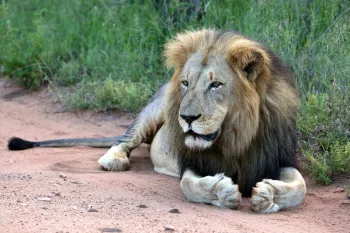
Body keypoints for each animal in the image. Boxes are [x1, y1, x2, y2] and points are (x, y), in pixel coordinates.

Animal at [8, 29, 304, 215]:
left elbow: (299, 186)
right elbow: (189, 186)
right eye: (186, 83)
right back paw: (113, 160)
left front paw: (268, 196)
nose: (187, 118)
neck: (234, 136)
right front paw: (223, 193)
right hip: (156, 108)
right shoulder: (193, 163)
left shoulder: (278, 158)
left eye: (216, 85)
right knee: (124, 139)